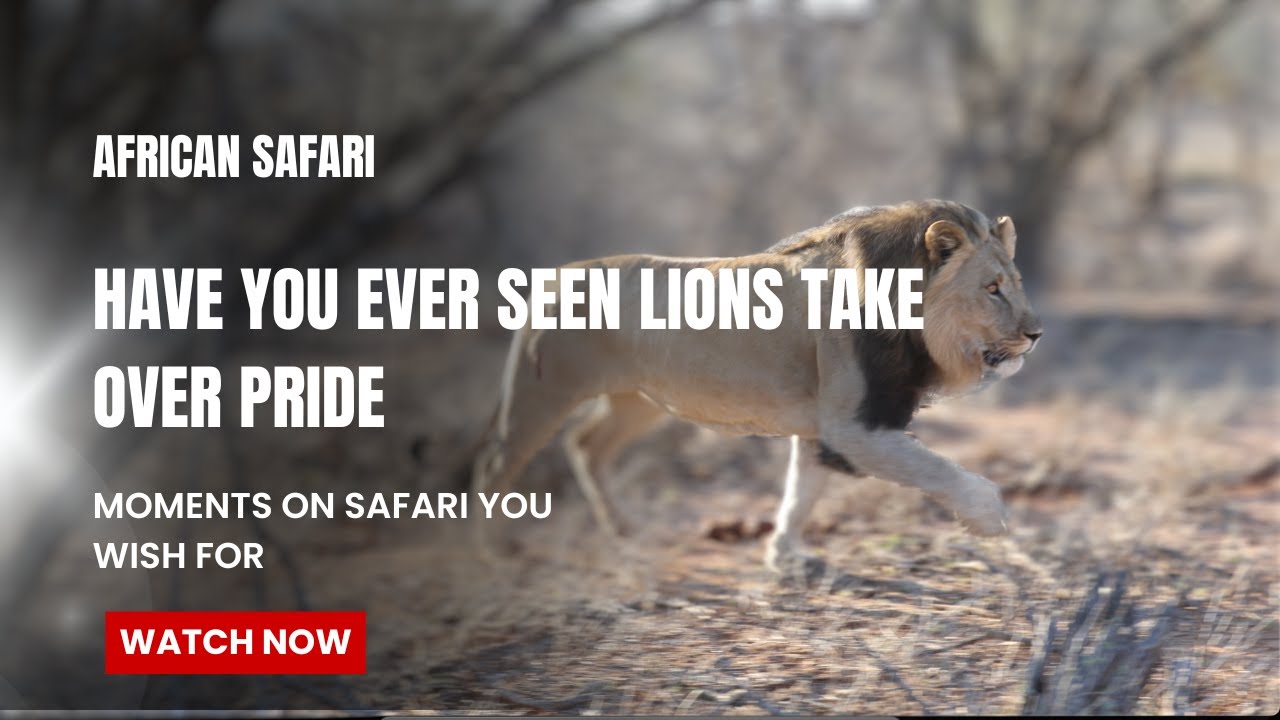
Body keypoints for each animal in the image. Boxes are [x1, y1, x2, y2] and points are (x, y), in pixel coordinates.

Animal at [470, 199, 1043, 572]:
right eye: (992, 289)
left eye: (1016, 284)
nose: (1035, 334)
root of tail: (552, 275)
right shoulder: (856, 426)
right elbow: (939, 469)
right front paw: (991, 516)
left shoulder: (830, 427)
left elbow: (800, 493)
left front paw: (785, 556)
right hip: (543, 394)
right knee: (495, 463)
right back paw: (484, 550)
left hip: (637, 401)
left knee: (584, 444)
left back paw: (622, 529)